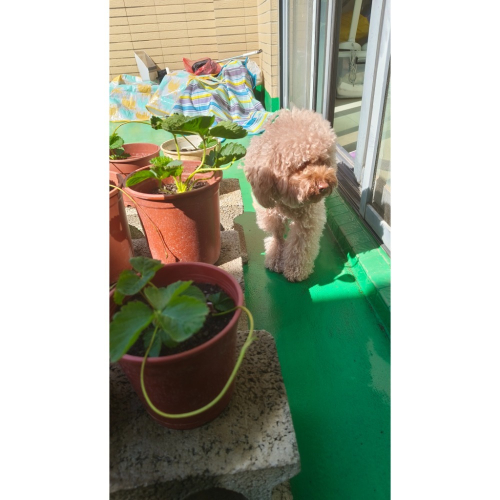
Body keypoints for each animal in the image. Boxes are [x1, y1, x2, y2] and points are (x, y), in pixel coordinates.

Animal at [243, 108, 338, 282]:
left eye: (323, 160)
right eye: (302, 164)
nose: (324, 186)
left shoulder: (308, 219)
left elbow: (300, 245)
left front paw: (295, 270)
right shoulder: (271, 215)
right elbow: (277, 237)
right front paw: (275, 258)